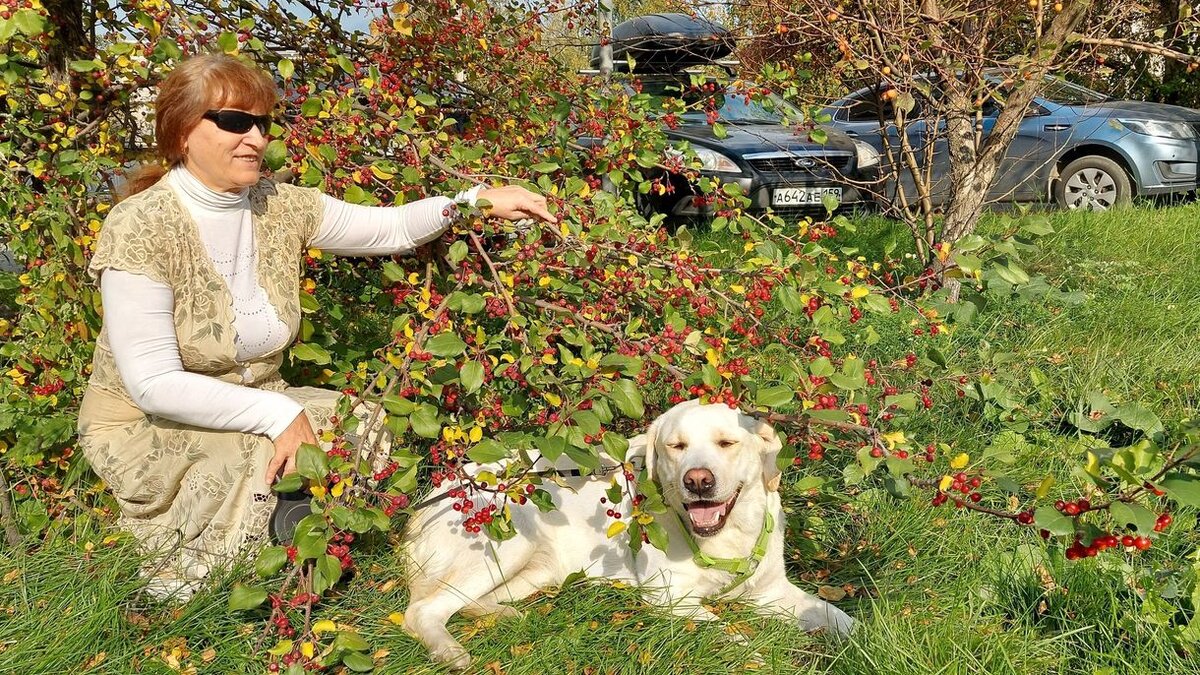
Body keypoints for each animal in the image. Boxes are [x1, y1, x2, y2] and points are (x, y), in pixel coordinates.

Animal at [403, 396, 854, 662]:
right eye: (676, 446)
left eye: (727, 443)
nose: (698, 481)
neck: (726, 539)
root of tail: (441, 489)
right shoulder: (671, 598)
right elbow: (731, 632)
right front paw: (754, 654)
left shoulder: (771, 591)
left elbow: (842, 619)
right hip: (507, 541)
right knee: (422, 610)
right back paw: (450, 651)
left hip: (540, 567)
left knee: (468, 603)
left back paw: (506, 615)